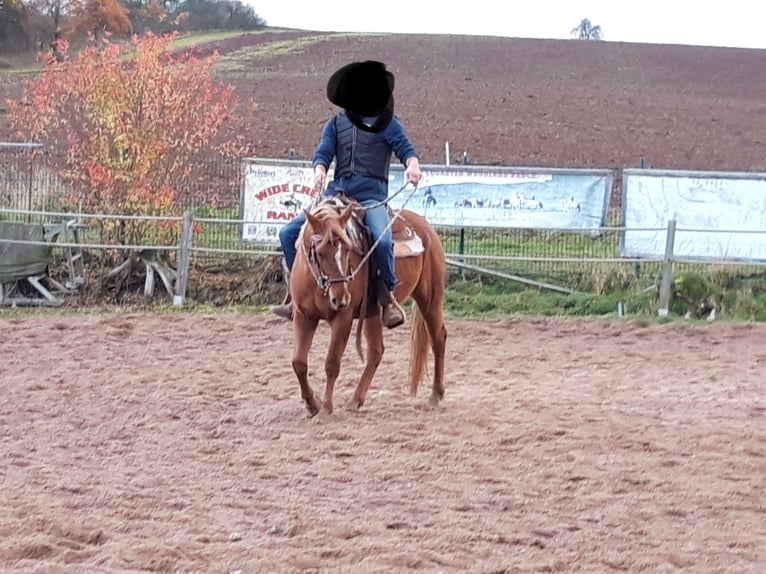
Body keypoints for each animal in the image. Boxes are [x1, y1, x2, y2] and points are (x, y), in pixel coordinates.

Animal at [287, 195, 447, 417]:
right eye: (319, 253)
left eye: (348, 248)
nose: (340, 299)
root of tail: (427, 228)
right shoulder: (304, 316)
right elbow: (299, 363)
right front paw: (313, 404)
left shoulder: (343, 319)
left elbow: (332, 363)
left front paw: (326, 408)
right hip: (373, 312)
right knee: (376, 352)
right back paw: (356, 400)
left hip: (430, 299)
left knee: (438, 339)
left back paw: (435, 395)